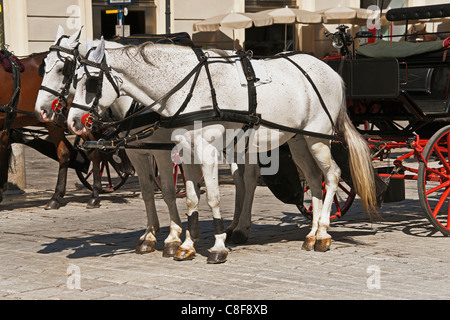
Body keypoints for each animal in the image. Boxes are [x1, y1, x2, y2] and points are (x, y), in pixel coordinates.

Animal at [0, 51, 102, 209]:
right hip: (54, 123)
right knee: (64, 153)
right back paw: (56, 197)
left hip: (78, 121)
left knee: (94, 151)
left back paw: (95, 194)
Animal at [67, 38, 376, 262]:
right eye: (71, 77)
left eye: (91, 82)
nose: (72, 122)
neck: (190, 88)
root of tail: (330, 71)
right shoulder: (186, 152)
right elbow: (192, 198)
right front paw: (187, 245)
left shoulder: (203, 152)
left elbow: (212, 198)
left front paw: (216, 246)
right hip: (298, 140)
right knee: (313, 179)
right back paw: (311, 234)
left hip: (318, 138)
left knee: (332, 175)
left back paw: (323, 233)